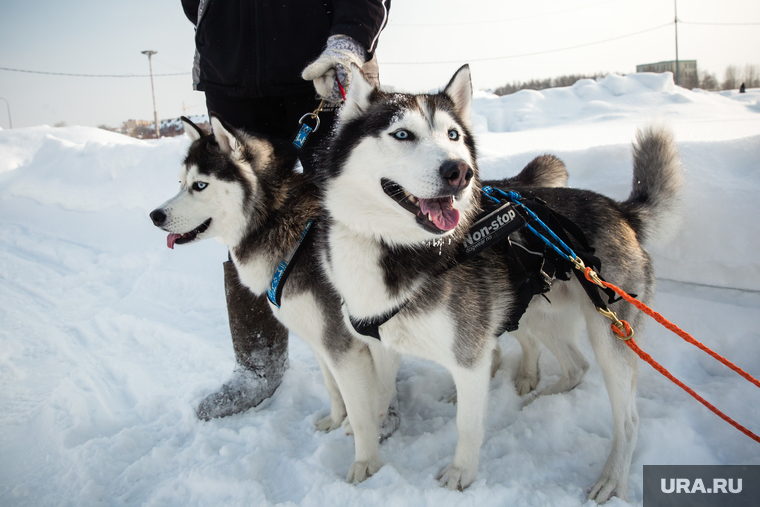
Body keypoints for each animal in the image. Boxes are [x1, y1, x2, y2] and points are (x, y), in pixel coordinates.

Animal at [148, 114, 568, 484]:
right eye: (180, 182)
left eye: (200, 186)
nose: (155, 215)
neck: (280, 223)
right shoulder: (322, 342)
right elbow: (335, 389)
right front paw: (337, 421)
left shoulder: (344, 345)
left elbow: (361, 402)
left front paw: (363, 445)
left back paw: (525, 379)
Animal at [318, 64, 684, 504]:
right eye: (402, 134)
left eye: (453, 135)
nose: (459, 171)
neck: (400, 248)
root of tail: (618, 209)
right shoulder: (381, 348)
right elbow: (371, 408)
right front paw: (366, 462)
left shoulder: (469, 356)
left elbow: (467, 423)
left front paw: (461, 473)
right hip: (534, 313)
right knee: (576, 366)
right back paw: (539, 400)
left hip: (608, 334)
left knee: (628, 419)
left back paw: (611, 479)